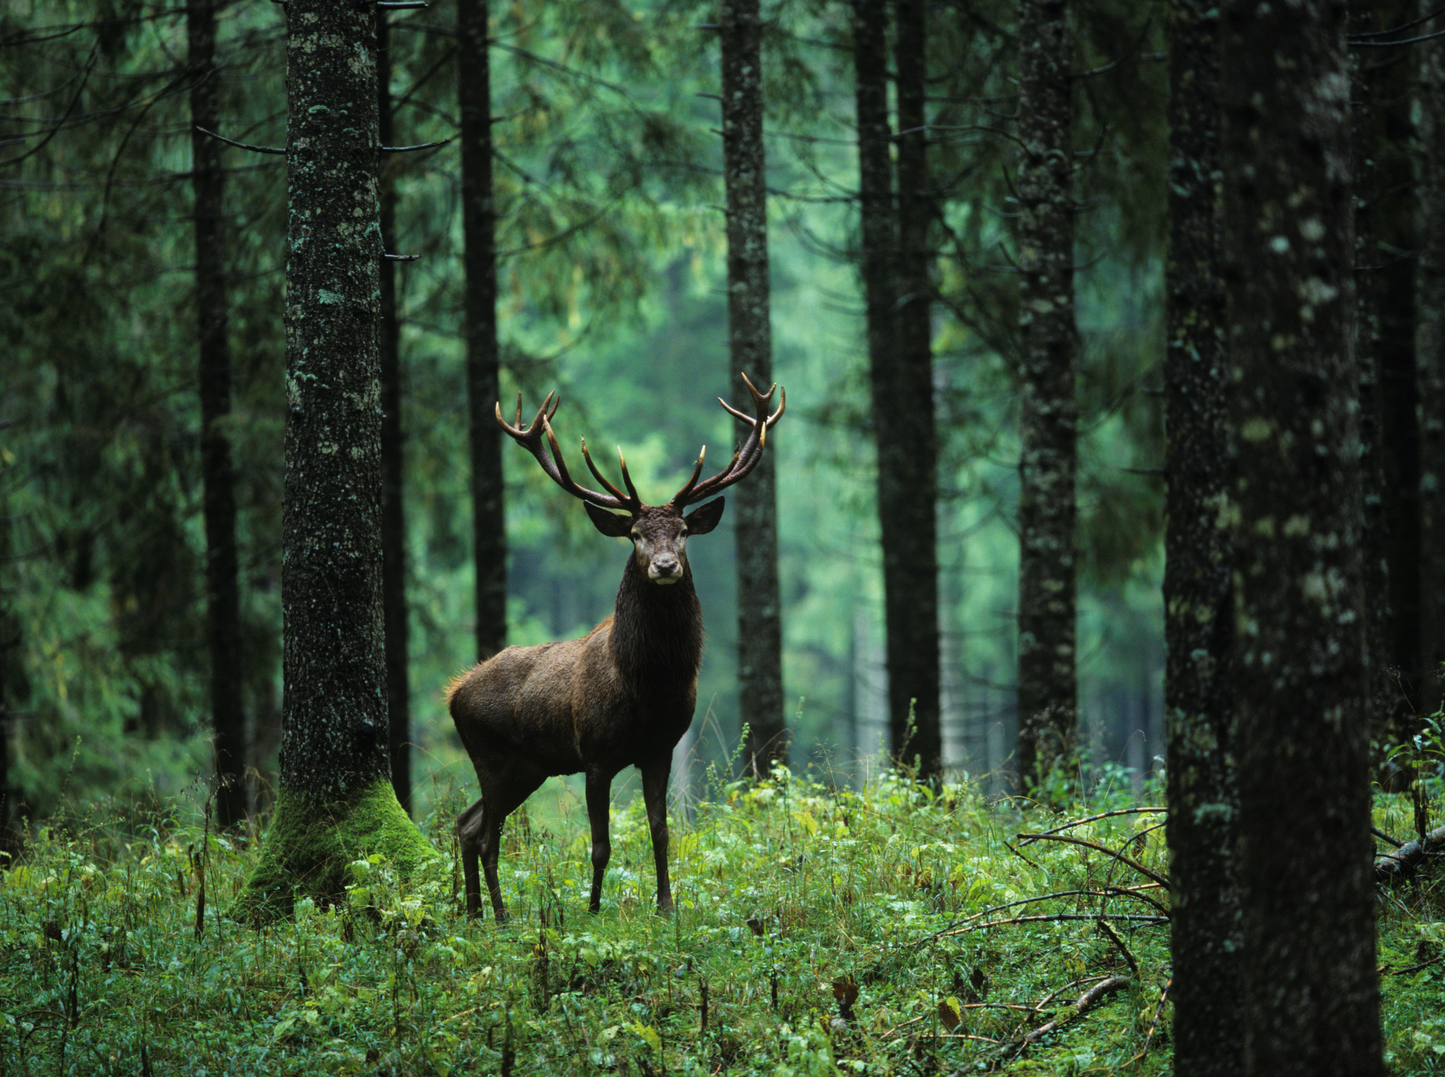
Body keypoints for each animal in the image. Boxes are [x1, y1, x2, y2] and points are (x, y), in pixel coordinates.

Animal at [448, 373, 785, 922]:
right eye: (635, 534)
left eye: (684, 531)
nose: (666, 565)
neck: (647, 688)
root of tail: (454, 693)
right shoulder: (596, 753)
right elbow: (600, 844)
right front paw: (592, 910)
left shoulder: (661, 748)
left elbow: (661, 831)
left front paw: (666, 906)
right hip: (492, 755)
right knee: (486, 834)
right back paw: (499, 917)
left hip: (529, 766)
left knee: (466, 822)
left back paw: (476, 914)